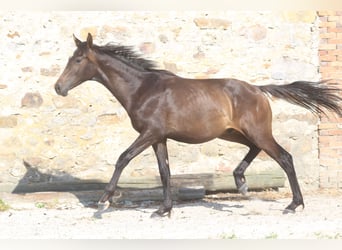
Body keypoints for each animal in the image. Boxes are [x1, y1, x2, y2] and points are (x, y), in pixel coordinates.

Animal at [54, 33, 342, 217]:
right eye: (69, 59)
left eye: (78, 60)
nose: (58, 88)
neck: (142, 89)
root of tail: (258, 90)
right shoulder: (159, 138)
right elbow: (165, 172)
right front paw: (164, 209)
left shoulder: (149, 133)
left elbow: (123, 158)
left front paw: (104, 201)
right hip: (233, 134)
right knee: (256, 149)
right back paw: (240, 182)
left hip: (257, 132)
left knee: (284, 157)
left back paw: (294, 205)